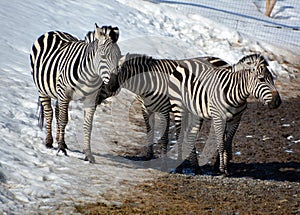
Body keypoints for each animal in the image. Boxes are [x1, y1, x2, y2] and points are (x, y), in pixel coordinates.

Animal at [29, 23, 120, 163]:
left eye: (119, 58)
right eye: (103, 57)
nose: (113, 86)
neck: (90, 75)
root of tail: (54, 31)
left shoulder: (91, 99)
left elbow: (88, 125)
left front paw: (88, 154)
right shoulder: (64, 94)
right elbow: (63, 119)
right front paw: (61, 149)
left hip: (58, 94)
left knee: (57, 112)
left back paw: (59, 140)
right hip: (43, 90)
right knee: (49, 112)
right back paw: (49, 142)